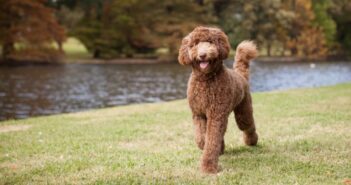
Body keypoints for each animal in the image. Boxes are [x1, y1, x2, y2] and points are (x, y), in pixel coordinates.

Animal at [179, 26, 258, 173]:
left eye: (210, 42)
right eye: (195, 44)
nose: (202, 55)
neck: (205, 80)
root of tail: (240, 75)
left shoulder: (216, 115)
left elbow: (212, 140)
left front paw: (208, 167)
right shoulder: (198, 113)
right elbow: (201, 136)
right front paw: (203, 144)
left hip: (243, 111)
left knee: (247, 125)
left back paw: (252, 141)